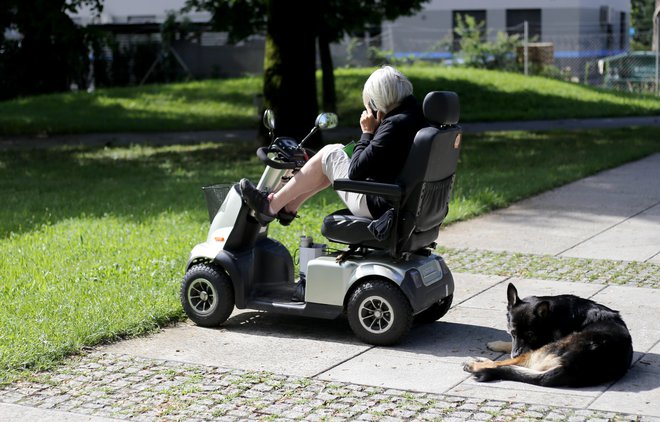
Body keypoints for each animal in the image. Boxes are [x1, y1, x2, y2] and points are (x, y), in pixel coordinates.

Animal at [464, 282, 636, 388]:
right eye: (512, 333)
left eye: (530, 335)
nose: (515, 353)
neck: (553, 315)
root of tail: (572, 366)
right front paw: (498, 343)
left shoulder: (536, 345)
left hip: (548, 348)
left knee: (505, 364)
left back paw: (476, 365)